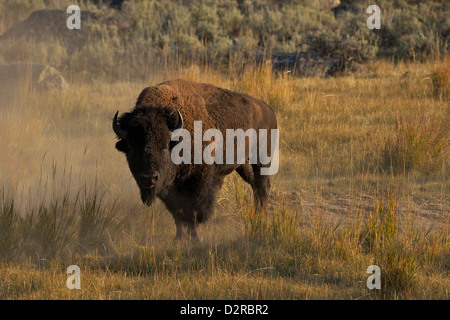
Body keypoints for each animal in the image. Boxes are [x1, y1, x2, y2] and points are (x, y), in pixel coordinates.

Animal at [112, 79, 278, 240]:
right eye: (132, 147)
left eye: (165, 146)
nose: (149, 178)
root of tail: (268, 110)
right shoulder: (169, 187)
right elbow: (177, 213)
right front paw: (179, 238)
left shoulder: (198, 182)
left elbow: (193, 210)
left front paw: (196, 237)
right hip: (243, 164)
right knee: (255, 185)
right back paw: (257, 216)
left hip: (262, 159)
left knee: (263, 186)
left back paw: (262, 219)